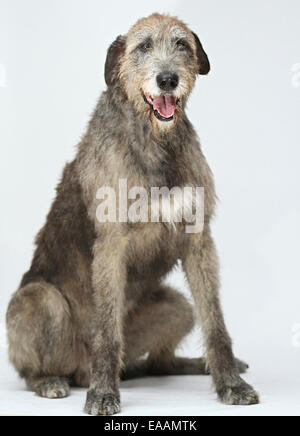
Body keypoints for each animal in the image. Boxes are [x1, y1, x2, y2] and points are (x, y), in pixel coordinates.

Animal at [5, 13, 258, 416]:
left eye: (182, 44)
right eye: (143, 46)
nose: (168, 79)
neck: (155, 141)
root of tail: (79, 368)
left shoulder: (198, 239)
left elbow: (215, 323)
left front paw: (230, 383)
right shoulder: (111, 245)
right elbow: (108, 330)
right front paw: (103, 393)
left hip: (175, 306)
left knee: (161, 357)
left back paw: (186, 365)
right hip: (39, 301)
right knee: (34, 363)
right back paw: (51, 381)